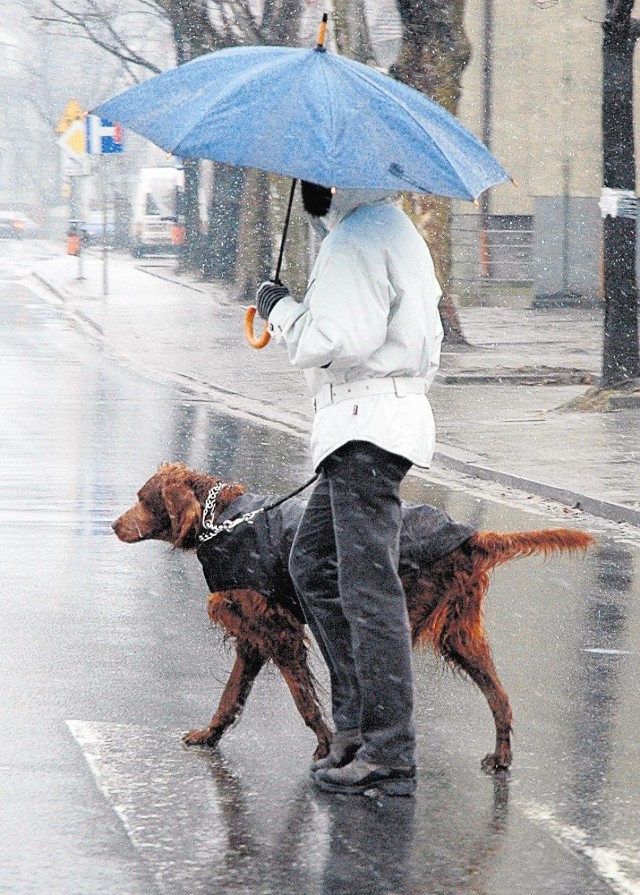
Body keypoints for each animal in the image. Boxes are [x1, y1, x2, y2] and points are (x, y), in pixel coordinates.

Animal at [111, 462, 596, 768]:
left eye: (141, 498)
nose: (113, 525)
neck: (221, 519)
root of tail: (469, 537)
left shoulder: (276, 630)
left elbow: (304, 700)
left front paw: (325, 746)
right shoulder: (254, 633)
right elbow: (231, 695)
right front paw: (208, 736)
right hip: (460, 633)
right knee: (499, 696)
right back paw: (501, 756)